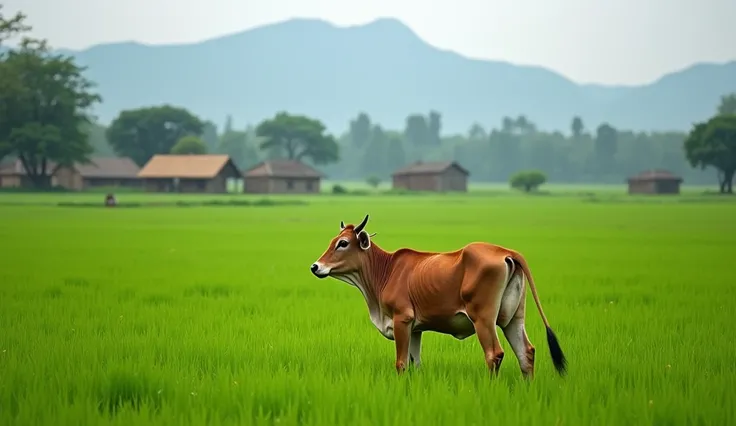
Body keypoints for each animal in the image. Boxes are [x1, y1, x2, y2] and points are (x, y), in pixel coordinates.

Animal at [308, 215, 568, 378]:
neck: (387, 270)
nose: (315, 266)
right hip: (513, 319)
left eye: (343, 243)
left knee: (494, 354)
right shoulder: (415, 329)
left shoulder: (402, 320)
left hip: (483, 320)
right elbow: (415, 364)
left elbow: (401, 363)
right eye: (333, 241)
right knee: (526, 354)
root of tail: (506, 252)